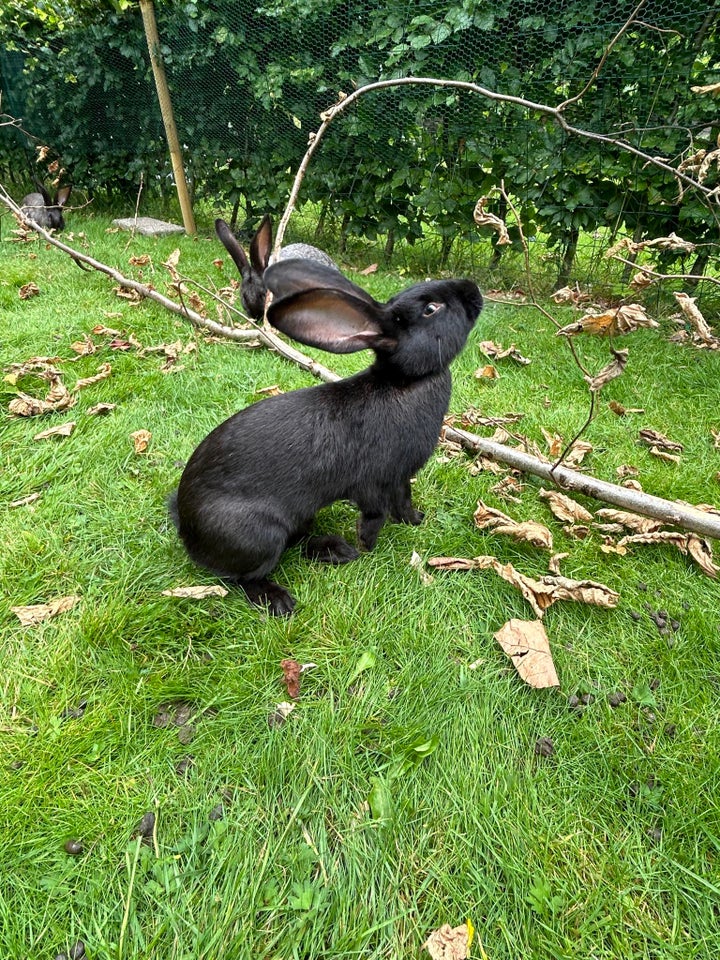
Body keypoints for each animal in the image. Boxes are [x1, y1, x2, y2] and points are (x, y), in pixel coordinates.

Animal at [169, 256, 484, 616]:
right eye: (432, 308)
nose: (473, 289)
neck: (404, 381)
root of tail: (187, 529)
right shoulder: (377, 481)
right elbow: (378, 512)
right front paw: (369, 543)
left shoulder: (400, 478)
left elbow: (403, 501)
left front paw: (414, 520)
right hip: (260, 536)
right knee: (245, 576)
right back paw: (279, 598)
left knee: (298, 541)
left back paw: (335, 550)